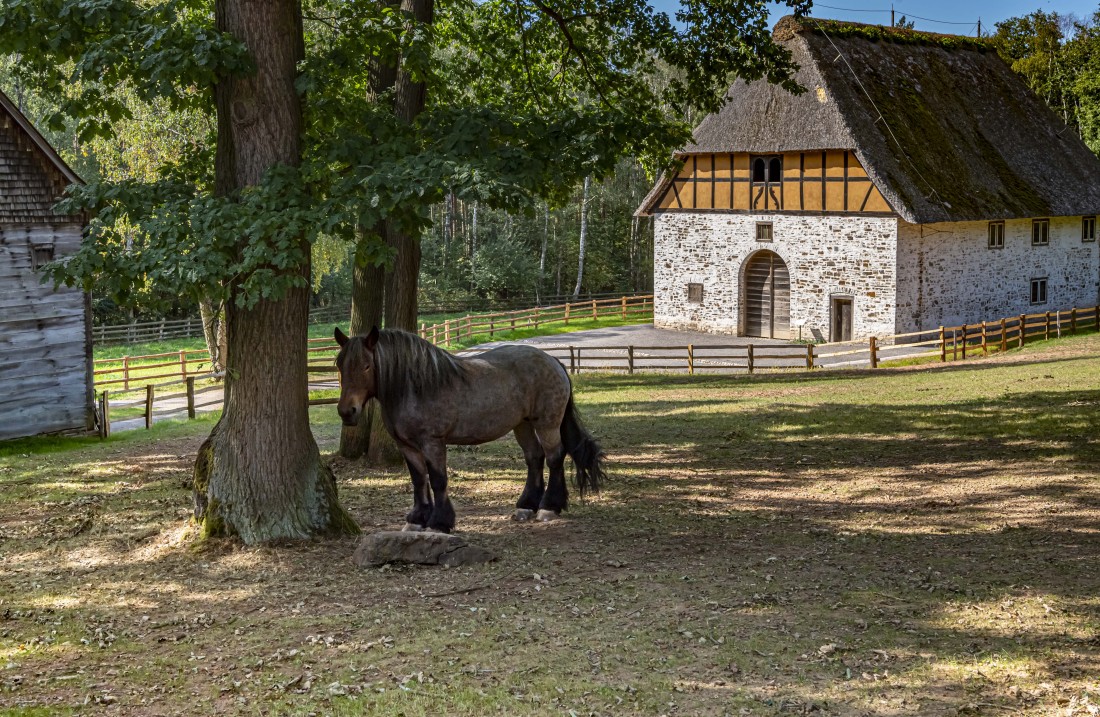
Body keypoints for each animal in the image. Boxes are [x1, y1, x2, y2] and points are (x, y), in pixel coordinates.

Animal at [334, 325, 611, 532]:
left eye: (367, 365)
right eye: (339, 365)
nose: (347, 412)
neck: (414, 387)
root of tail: (554, 361)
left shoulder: (433, 443)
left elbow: (438, 480)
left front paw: (439, 522)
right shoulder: (407, 446)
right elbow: (418, 480)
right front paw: (416, 519)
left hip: (547, 424)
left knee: (554, 457)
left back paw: (548, 507)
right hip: (522, 424)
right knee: (534, 457)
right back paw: (526, 506)